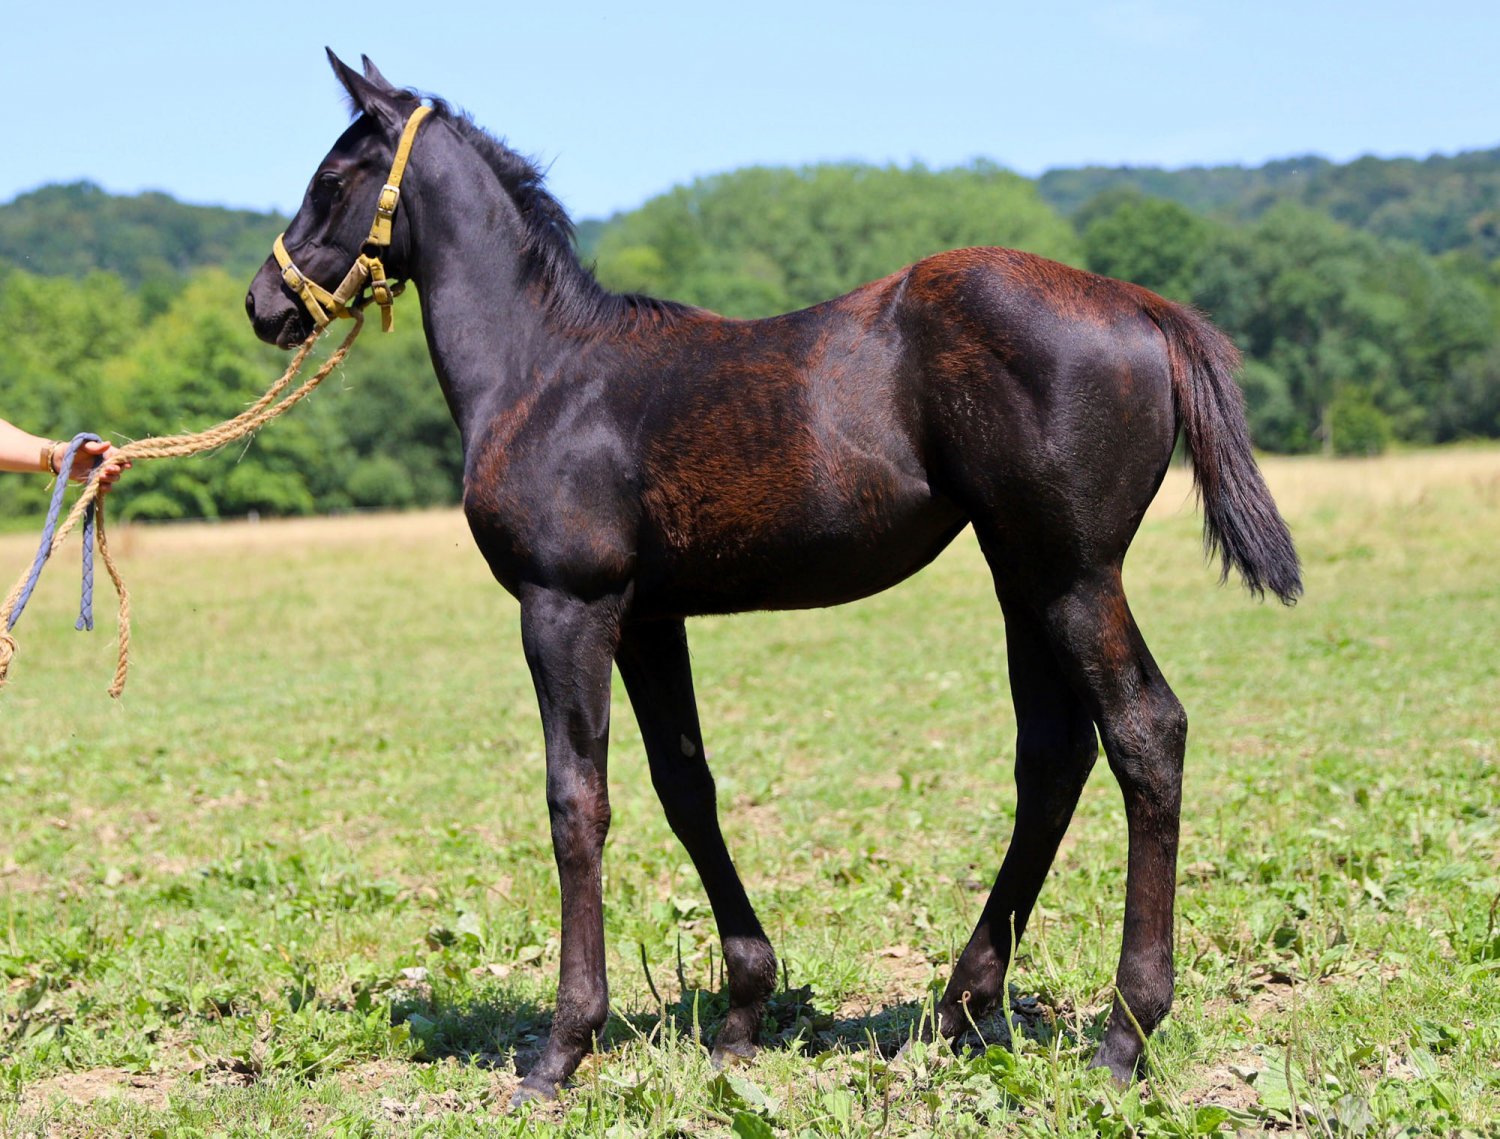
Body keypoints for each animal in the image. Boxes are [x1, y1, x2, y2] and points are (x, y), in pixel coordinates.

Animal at [246, 51, 1301, 1103]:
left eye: (331, 180)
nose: (265, 303)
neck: (542, 371)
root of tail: (1142, 307)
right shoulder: (648, 618)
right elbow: (686, 786)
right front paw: (744, 1011)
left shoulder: (566, 608)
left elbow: (576, 802)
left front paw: (561, 1046)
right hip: (1023, 573)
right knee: (1052, 754)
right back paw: (962, 1009)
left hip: (1073, 572)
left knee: (1144, 732)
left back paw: (1125, 1031)